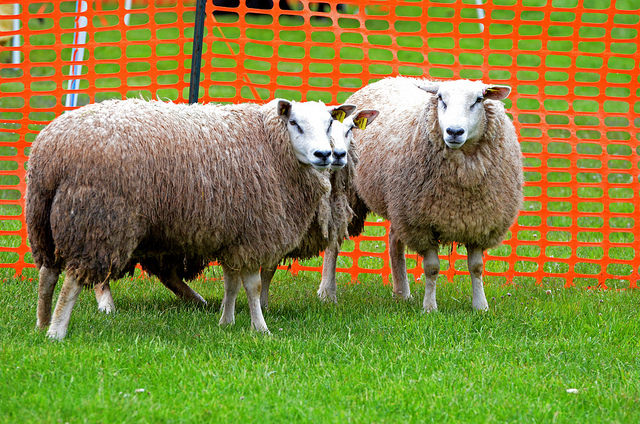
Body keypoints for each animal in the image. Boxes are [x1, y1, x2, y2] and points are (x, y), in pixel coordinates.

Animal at [26, 97, 356, 339]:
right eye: (294, 123)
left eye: (330, 122)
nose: (325, 154)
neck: (271, 144)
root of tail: (52, 150)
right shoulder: (254, 232)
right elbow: (252, 286)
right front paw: (261, 329)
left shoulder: (234, 233)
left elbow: (231, 282)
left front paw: (226, 321)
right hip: (97, 219)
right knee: (71, 280)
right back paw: (57, 332)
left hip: (43, 219)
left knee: (47, 273)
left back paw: (41, 324)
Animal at [258, 109, 380, 310]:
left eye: (350, 128)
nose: (338, 154)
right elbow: (267, 270)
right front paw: (262, 305)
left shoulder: (332, 218)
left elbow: (332, 252)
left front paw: (328, 296)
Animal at [344, 77, 523, 311]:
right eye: (441, 99)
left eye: (478, 99)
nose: (454, 131)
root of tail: (389, 78)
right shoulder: (422, 225)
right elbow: (432, 268)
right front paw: (430, 307)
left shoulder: (479, 223)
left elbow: (476, 267)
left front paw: (480, 306)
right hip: (356, 196)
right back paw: (326, 292)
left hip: (400, 207)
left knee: (394, 242)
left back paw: (402, 293)